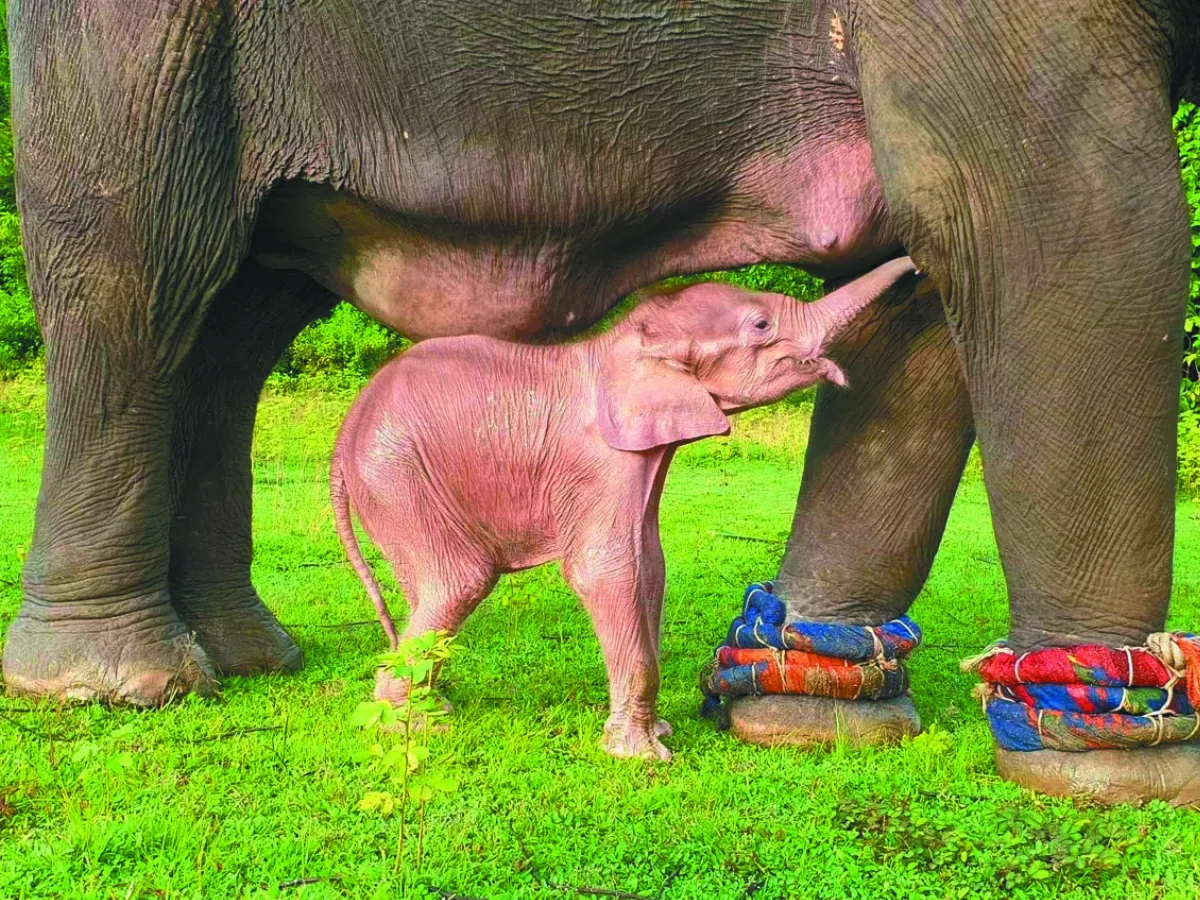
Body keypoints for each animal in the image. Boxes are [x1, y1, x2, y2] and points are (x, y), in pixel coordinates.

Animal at [331, 257, 918, 760]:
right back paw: (412, 724)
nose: (916, 267)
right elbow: (607, 570)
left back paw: (429, 706)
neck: (626, 341)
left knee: (429, 590)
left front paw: (660, 732)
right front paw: (643, 756)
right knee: (459, 582)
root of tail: (344, 434)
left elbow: (650, 567)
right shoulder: (602, 462)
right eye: (760, 325)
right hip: (395, 473)